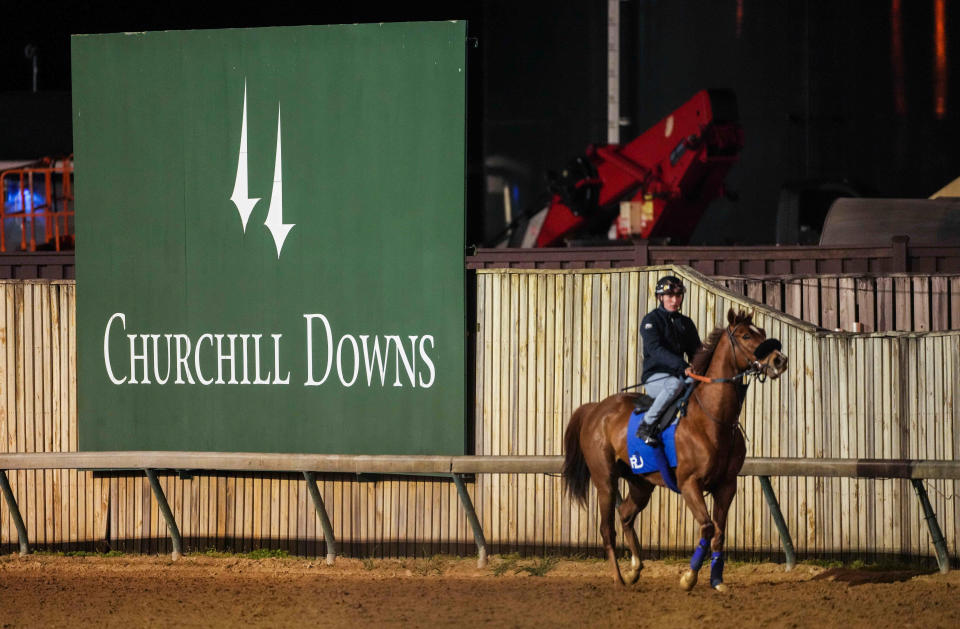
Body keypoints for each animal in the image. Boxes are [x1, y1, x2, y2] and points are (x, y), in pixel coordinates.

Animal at [564, 308, 788, 588]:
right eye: (746, 335)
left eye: (763, 333)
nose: (780, 360)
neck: (712, 419)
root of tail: (595, 409)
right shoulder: (689, 483)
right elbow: (707, 527)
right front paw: (688, 577)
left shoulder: (727, 486)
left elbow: (720, 533)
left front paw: (717, 580)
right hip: (605, 480)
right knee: (607, 529)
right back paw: (618, 578)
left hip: (641, 483)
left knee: (625, 515)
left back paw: (635, 568)